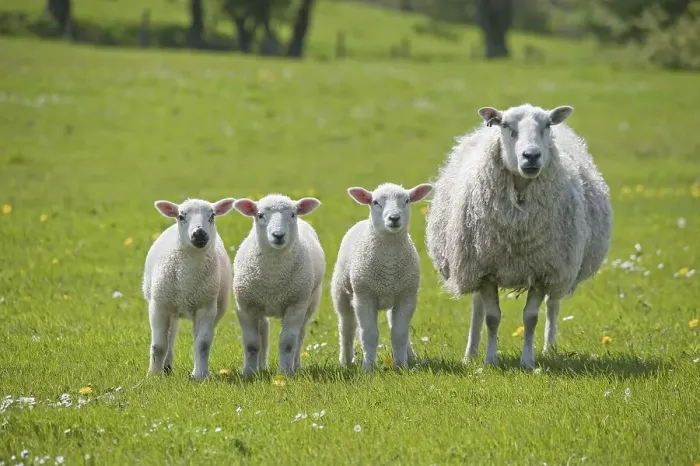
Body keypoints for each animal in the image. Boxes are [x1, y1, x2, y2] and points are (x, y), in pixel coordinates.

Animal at [142, 197, 236, 380]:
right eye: (181, 216)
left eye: (212, 216)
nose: (199, 233)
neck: (187, 280)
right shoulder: (159, 306)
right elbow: (159, 345)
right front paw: (154, 375)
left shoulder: (206, 307)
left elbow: (202, 343)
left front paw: (200, 375)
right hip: (170, 304)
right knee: (171, 336)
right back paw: (166, 366)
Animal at [231, 194, 324, 378]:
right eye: (260, 215)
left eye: (293, 214)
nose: (278, 235)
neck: (273, 279)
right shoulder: (245, 306)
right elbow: (251, 344)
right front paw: (249, 373)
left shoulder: (296, 304)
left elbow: (288, 343)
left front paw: (286, 373)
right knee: (263, 331)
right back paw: (260, 367)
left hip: (309, 302)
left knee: (300, 336)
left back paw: (296, 365)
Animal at [331, 182, 433, 372]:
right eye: (375, 202)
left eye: (407, 200)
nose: (394, 218)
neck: (389, 266)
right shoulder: (364, 297)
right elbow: (369, 334)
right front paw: (367, 369)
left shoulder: (407, 296)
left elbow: (399, 333)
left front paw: (401, 366)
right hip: (341, 293)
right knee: (347, 327)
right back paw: (346, 362)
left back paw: (410, 356)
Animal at [425, 103, 612, 369]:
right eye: (505, 125)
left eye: (547, 125)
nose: (531, 156)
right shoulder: (485, 270)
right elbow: (492, 318)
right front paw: (490, 360)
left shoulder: (543, 271)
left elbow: (531, 318)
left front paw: (528, 361)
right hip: (472, 265)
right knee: (477, 309)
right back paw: (470, 354)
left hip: (563, 266)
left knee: (553, 304)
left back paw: (549, 348)